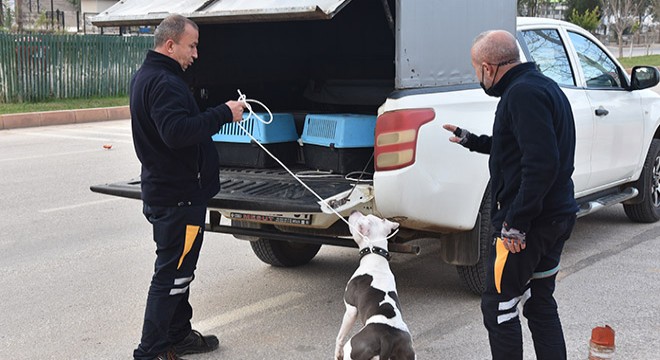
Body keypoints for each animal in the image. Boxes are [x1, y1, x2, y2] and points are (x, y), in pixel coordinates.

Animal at [336, 211, 412, 360]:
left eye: (360, 220)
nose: (353, 211)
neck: (375, 256)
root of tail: (387, 339)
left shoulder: (351, 310)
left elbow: (339, 337)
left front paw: (337, 353)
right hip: (408, 351)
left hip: (353, 348)